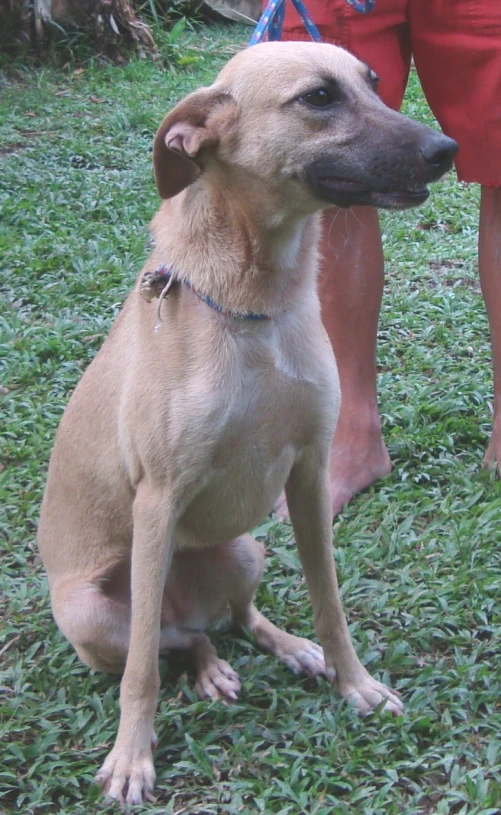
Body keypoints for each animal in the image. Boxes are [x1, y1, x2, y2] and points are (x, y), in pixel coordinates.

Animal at [37, 43, 456, 804]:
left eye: (373, 82)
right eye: (318, 97)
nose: (446, 149)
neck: (257, 302)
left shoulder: (310, 474)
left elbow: (330, 602)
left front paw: (354, 682)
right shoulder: (157, 500)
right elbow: (141, 672)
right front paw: (132, 758)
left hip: (245, 549)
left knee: (229, 621)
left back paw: (288, 649)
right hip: (92, 609)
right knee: (170, 640)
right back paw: (206, 668)